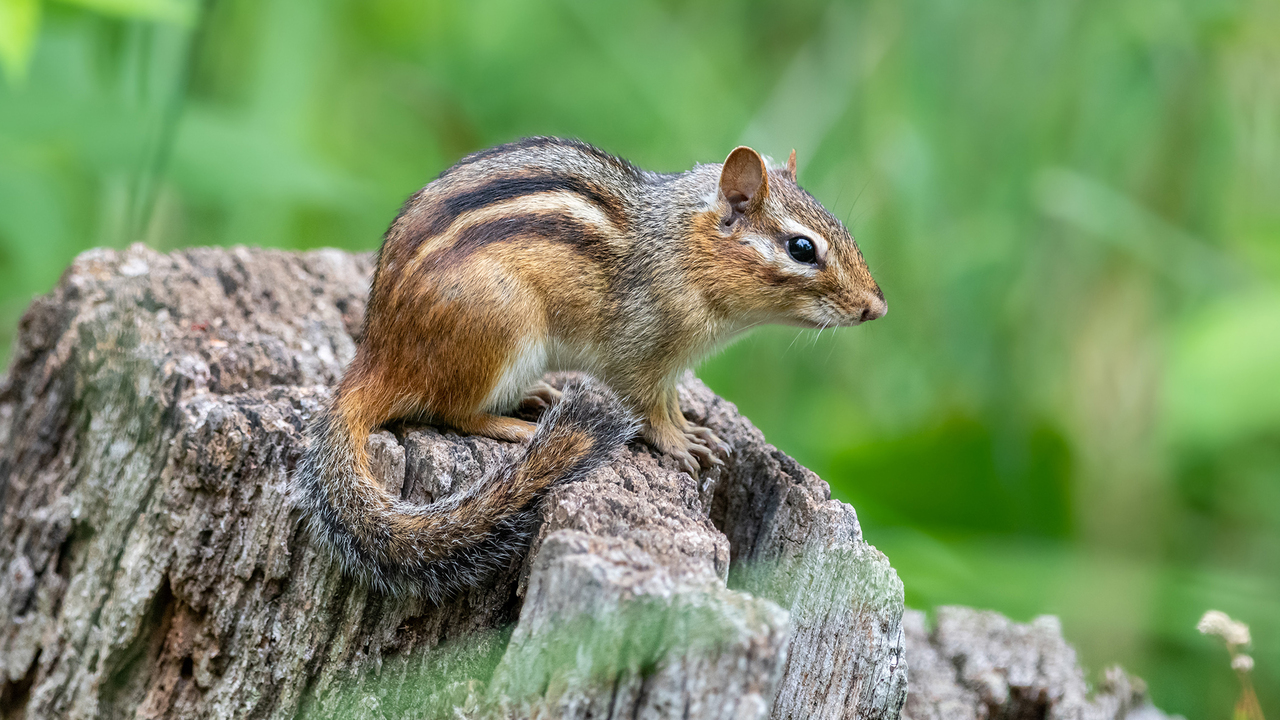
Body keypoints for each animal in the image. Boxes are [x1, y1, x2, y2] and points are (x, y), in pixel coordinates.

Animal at [294, 137, 886, 600]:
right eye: (802, 248)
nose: (876, 308)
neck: (679, 248)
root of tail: (375, 357)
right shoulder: (640, 355)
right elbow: (649, 410)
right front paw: (679, 444)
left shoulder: (670, 368)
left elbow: (670, 403)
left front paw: (696, 432)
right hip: (500, 332)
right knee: (453, 412)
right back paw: (516, 426)